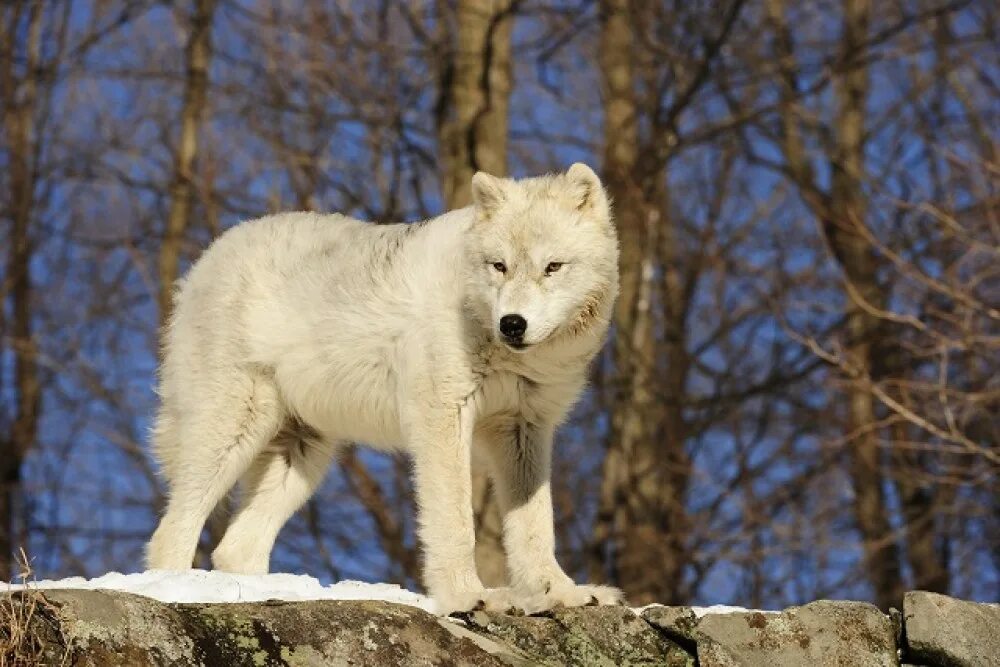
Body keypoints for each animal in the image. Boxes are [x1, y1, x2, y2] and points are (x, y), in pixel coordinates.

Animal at [146, 163, 620, 616]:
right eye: (499, 266)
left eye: (553, 267)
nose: (512, 324)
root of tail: (208, 257)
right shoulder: (442, 417)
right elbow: (455, 521)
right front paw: (469, 597)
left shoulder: (525, 428)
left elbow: (536, 525)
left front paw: (561, 593)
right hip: (235, 429)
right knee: (171, 531)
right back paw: (175, 591)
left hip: (304, 453)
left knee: (234, 548)